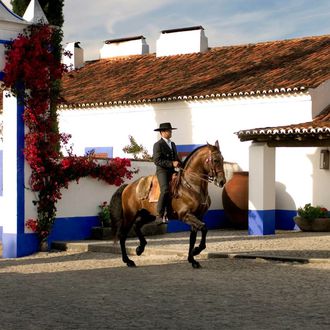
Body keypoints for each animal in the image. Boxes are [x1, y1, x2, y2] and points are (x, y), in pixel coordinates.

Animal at [109, 140, 226, 268]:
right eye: (215, 160)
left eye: (222, 159)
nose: (222, 181)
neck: (192, 187)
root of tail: (128, 186)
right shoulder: (185, 215)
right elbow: (204, 228)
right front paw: (196, 251)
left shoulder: (198, 216)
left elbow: (193, 237)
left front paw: (192, 260)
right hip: (130, 215)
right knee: (123, 235)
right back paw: (128, 260)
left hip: (148, 215)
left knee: (137, 226)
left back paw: (140, 249)